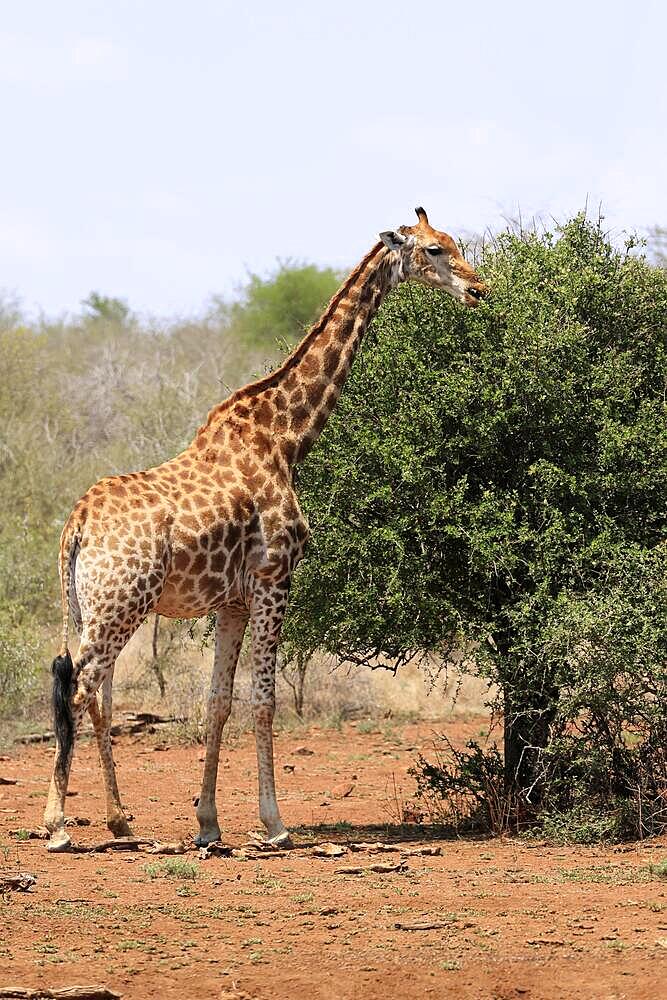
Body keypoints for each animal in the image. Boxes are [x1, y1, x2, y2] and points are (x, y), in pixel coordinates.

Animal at [44, 207, 488, 848]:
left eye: (457, 243)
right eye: (432, 250)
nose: (479, 289)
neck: (287, 438)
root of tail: (76, 523)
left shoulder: (231, 600)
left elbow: (218, 702)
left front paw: (208, 823)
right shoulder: (277, 577)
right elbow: (265, 699)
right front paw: (274, 823)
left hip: (93, 607)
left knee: (94, 690)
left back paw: (119, 818)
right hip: (122, 602)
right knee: (80, 688)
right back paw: (58, 823)